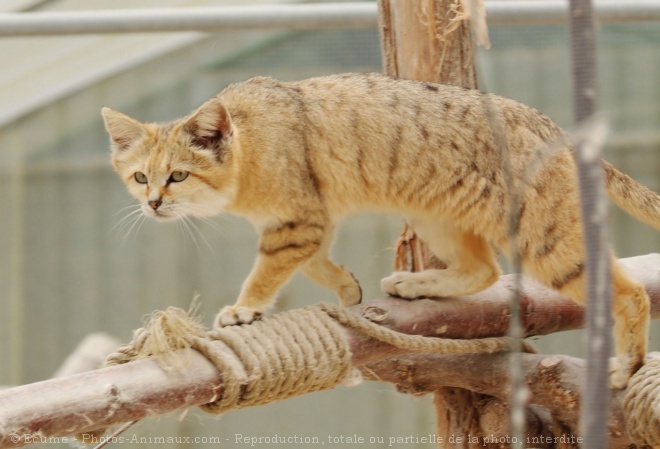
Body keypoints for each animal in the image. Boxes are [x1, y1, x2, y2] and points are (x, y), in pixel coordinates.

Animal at [100, 72, 656, 386]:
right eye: (140, 177)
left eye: (178, 175)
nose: (152, 203)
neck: (250, 142)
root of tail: (554, 127)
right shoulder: (314, 219)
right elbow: (317, 263)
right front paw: (348, 288)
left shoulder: (296, 221)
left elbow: (267, 271)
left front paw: (243, 309)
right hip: (437, 218)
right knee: (483, 270)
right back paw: (415, 283)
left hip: (543, 240)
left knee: (628, 294)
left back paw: (626, 367)